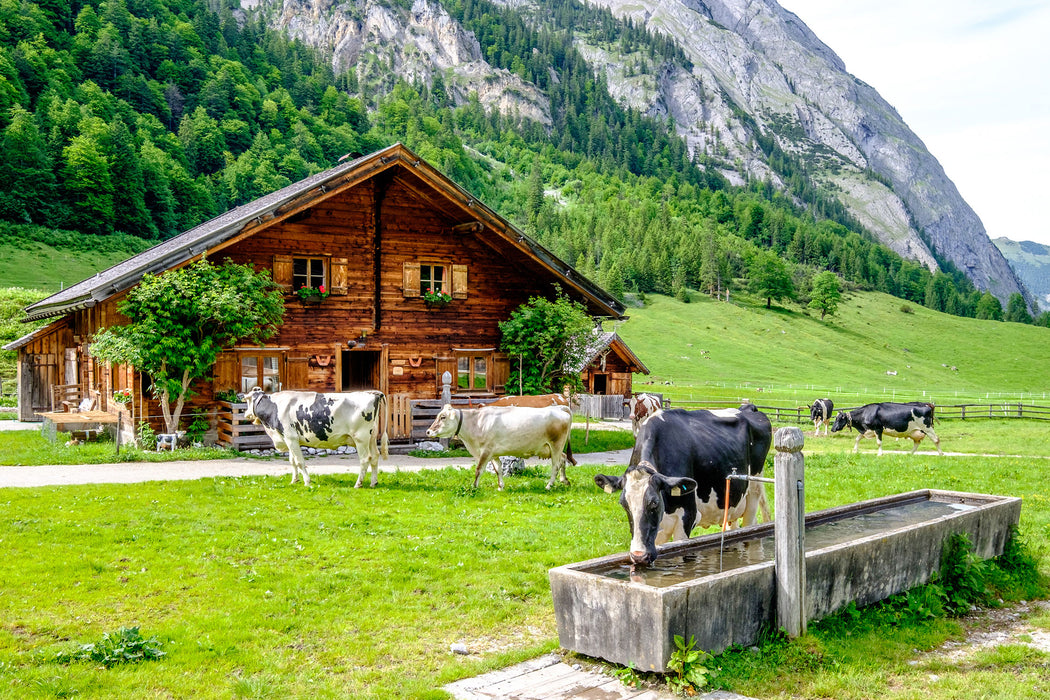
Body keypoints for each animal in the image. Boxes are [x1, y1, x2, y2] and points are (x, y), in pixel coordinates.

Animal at [244, 388, 390, 486]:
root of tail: (371, 393)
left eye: (247, 401)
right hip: (371, 438)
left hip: (360, 438)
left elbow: (300, 462)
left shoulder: (290, 437)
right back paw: (373, 482)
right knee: (375, 457)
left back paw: (358, 484)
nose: (245, 414)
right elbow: (292, 461)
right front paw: (294, 480)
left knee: (365, 459)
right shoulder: (289, 438)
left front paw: (307, 482)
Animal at [426, 402, 575, 491]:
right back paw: (564, 480)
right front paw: (500, 486)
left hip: (556, 445)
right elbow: (498, 469)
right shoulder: (494, 453)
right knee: (563, 459)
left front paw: (474, 486)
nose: (428, 431)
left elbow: (479, 470)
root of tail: (558, 408)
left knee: (555, 465)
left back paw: (549, 485)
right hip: (551, 448)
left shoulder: (486, 451)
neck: (476, 422)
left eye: (443, 417)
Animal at [596, 407, 776, 566]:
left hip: (754, 490)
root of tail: (749, 408)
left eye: (654, 503)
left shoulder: (688, 516)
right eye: (623, 504)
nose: (639, 556)